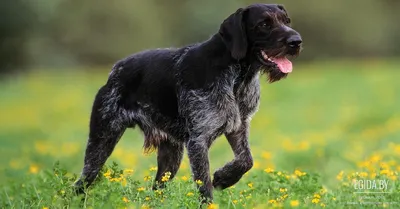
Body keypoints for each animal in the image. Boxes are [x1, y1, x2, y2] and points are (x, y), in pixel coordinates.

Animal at [75, 3, 302, 202]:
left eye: (287, 21)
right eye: (264, 24)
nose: (296, 41)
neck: (238, 77)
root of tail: (115, 70)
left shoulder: (238, 126)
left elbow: (246, 161)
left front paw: (224, 178)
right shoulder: (198, 141)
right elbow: (205, 186)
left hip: (171, 155)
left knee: (157, 188)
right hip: (102, 140)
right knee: (81, 183)